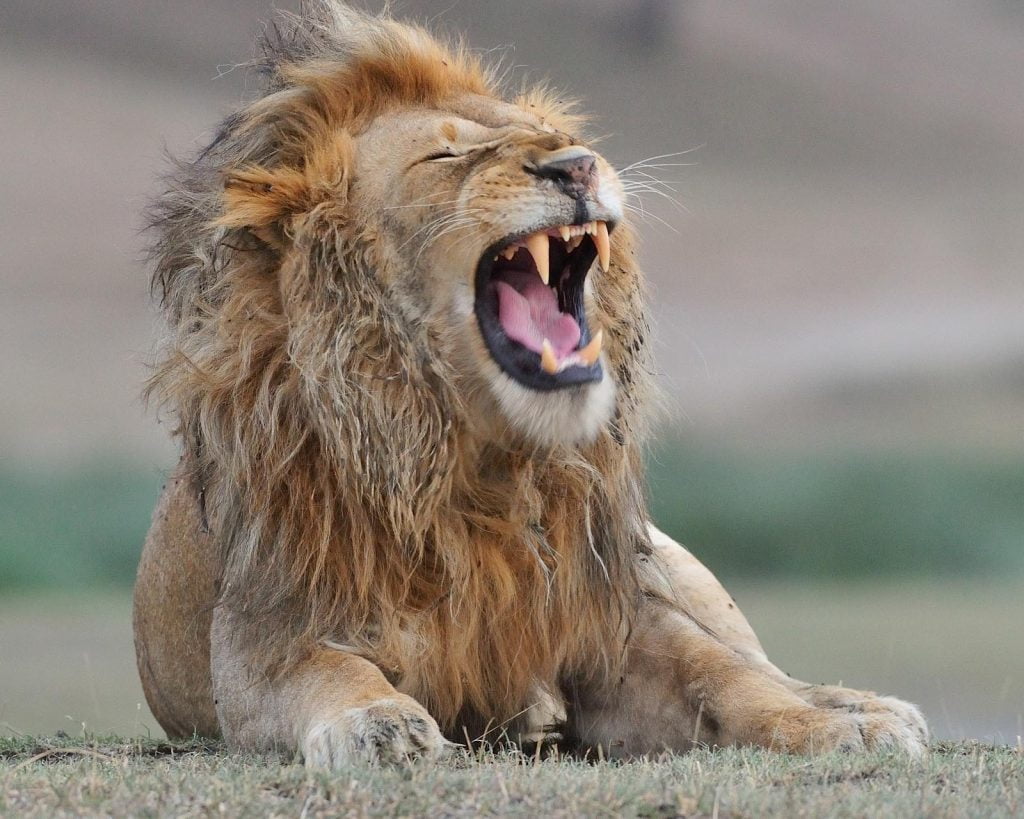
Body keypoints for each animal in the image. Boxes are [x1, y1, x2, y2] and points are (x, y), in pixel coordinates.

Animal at [133, 1, 927, 765]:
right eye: (446, 154)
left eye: (555, 136)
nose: (578, 166)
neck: (482, 461)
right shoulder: (268, 635)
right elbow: (329, 673)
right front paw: (379, 724)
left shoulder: (614, 619)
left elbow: (725, 675)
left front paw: (832, 726)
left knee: (758, 660)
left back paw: (866, 705)